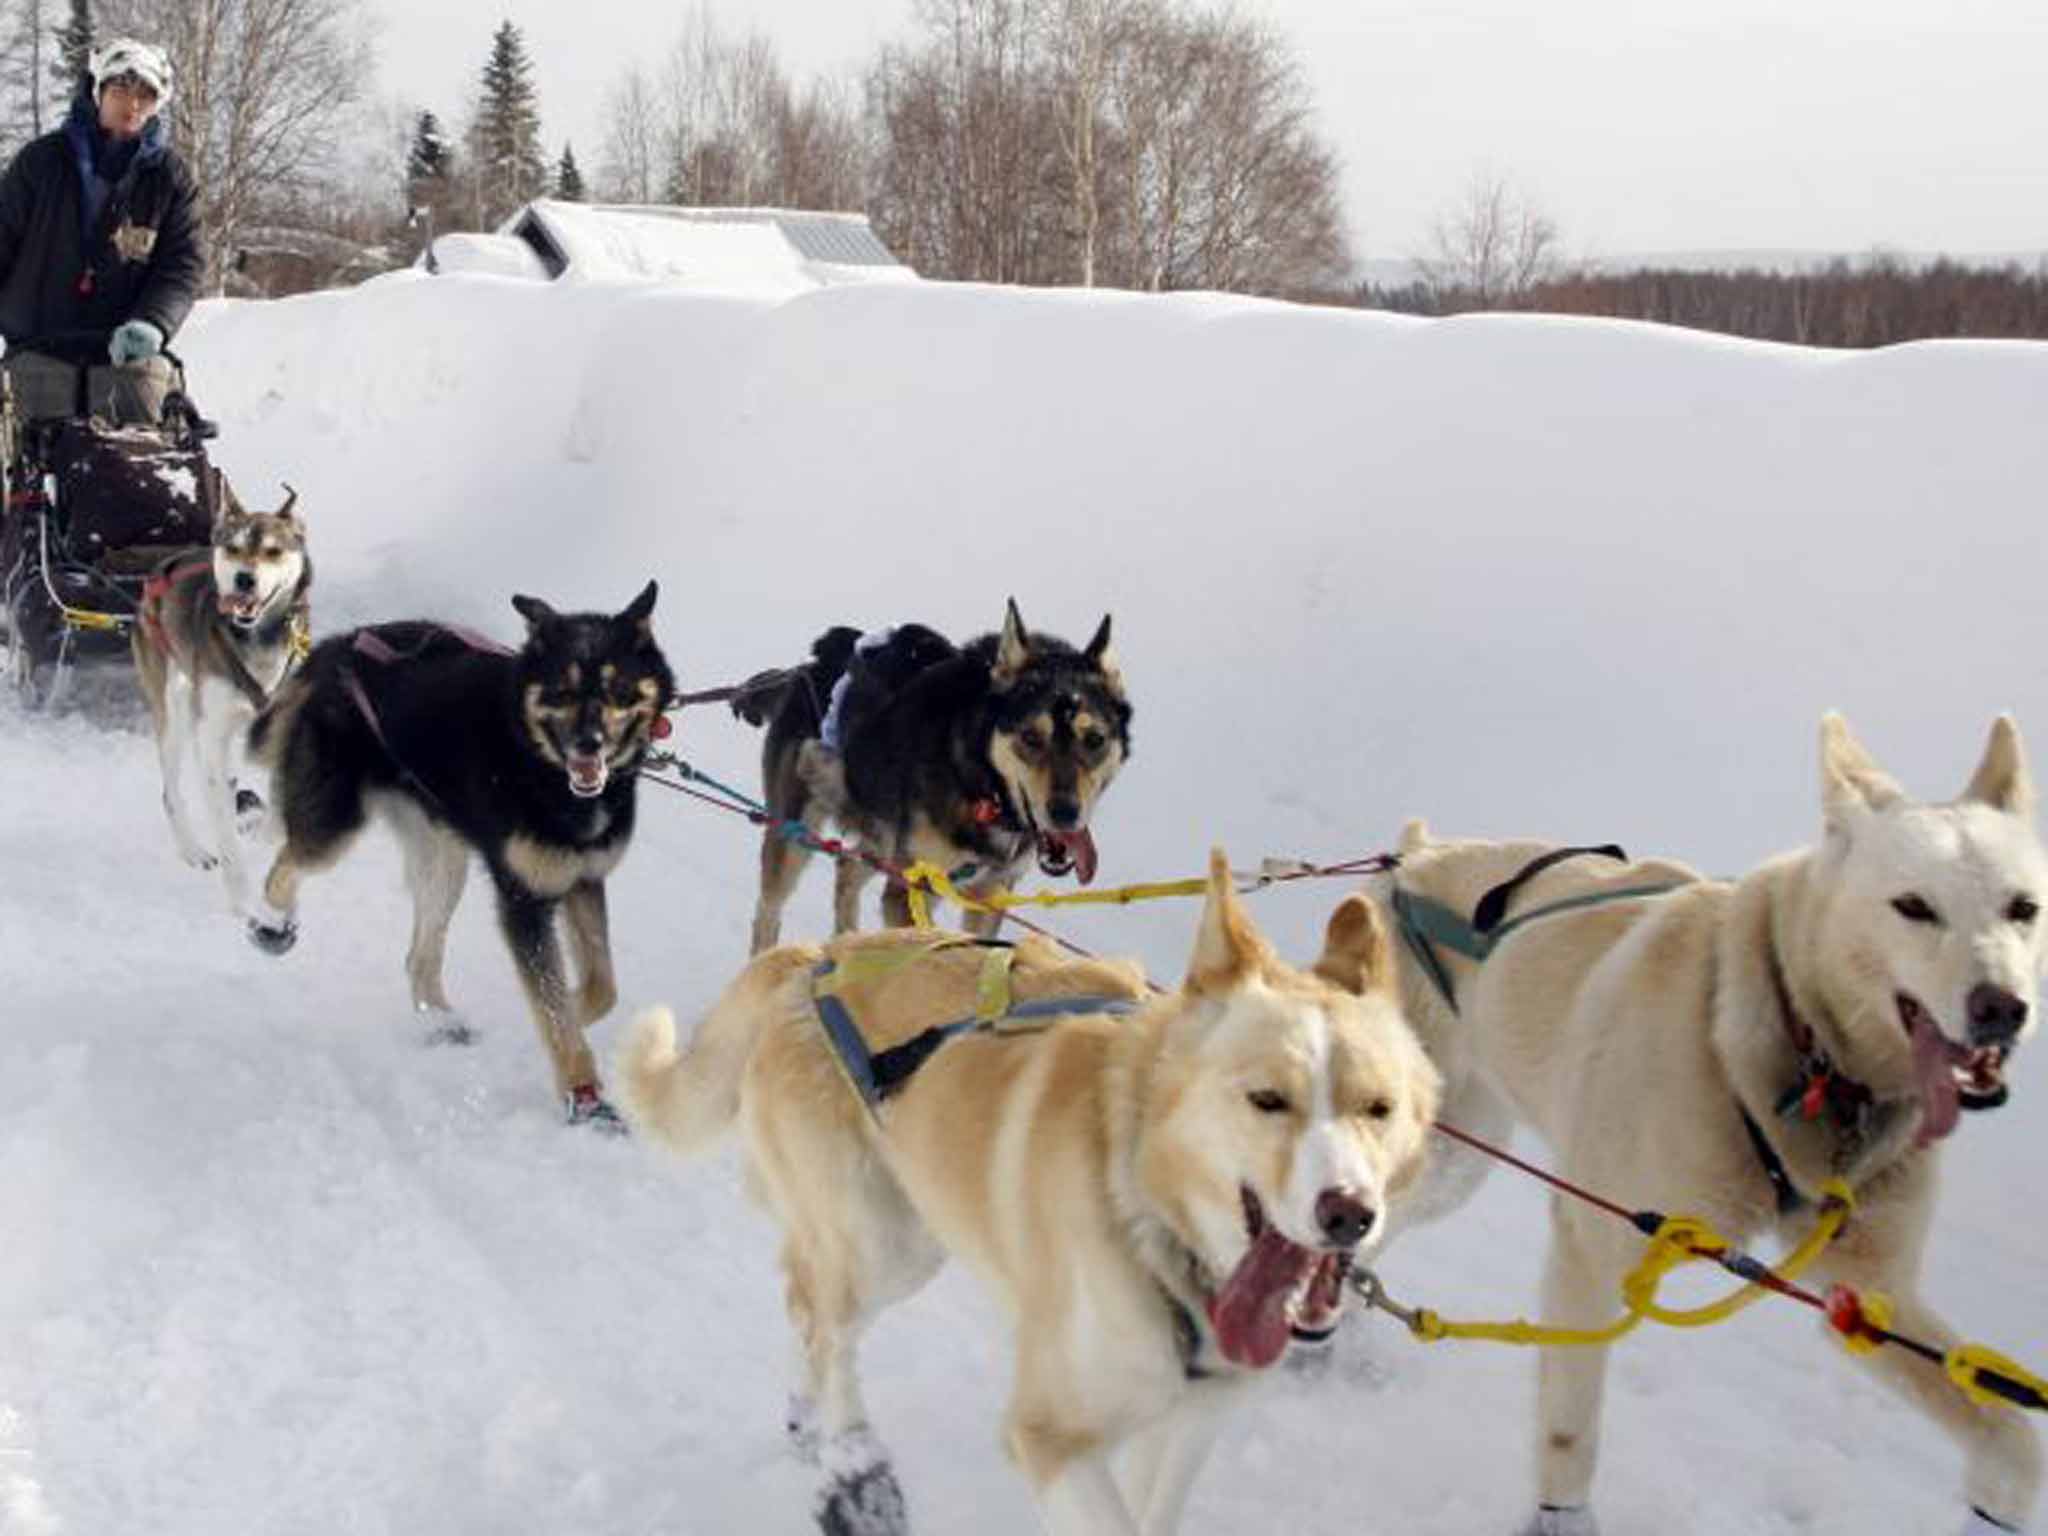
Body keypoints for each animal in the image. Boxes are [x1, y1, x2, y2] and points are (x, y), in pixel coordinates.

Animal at [241, 581, 671, 1122]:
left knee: (417, 957)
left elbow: (600, 987)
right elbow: (553, 1006)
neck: (538, 763)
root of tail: (336, 647)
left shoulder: (583, 879)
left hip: (445, 861)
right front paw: (584, 1094)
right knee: (284, 862)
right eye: (562, 690)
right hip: (333, 826)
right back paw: (271, 924)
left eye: (618, 689)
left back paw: (440, 1023)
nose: (587, 744)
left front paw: (571, 1013)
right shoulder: (524, 901)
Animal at [622, 856, 1441, 1536]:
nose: (1349, 1213)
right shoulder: (1051, 1438)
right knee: (823, 1322)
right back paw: (852, 1462)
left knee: (804, 1292)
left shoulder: (1184, 1427)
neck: (1148, 1220)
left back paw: (806, 1418)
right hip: (888, 1245)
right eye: (1267, 1099)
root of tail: (813, 959)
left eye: (1379, 1108)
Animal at [729, 606, 1130, 958]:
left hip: (883, 842)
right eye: (1031, 737)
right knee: (768, 915)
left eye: (1094, 739)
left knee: (846, 869)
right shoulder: (912, 891)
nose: (1066, 812)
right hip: (796, 838)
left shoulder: (991, 892)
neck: (980, 786)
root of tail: (816, 661)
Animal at [1376, 720, 2048, 1536]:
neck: (1799, 1053)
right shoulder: (1592, 1245)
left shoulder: (1867, 1292)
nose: (2001, 1008)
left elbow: (2013, 1441)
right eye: (1914, 906)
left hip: (1454, 1161)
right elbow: (1570, 1433)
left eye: (2022, 908)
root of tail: (1415, 857)